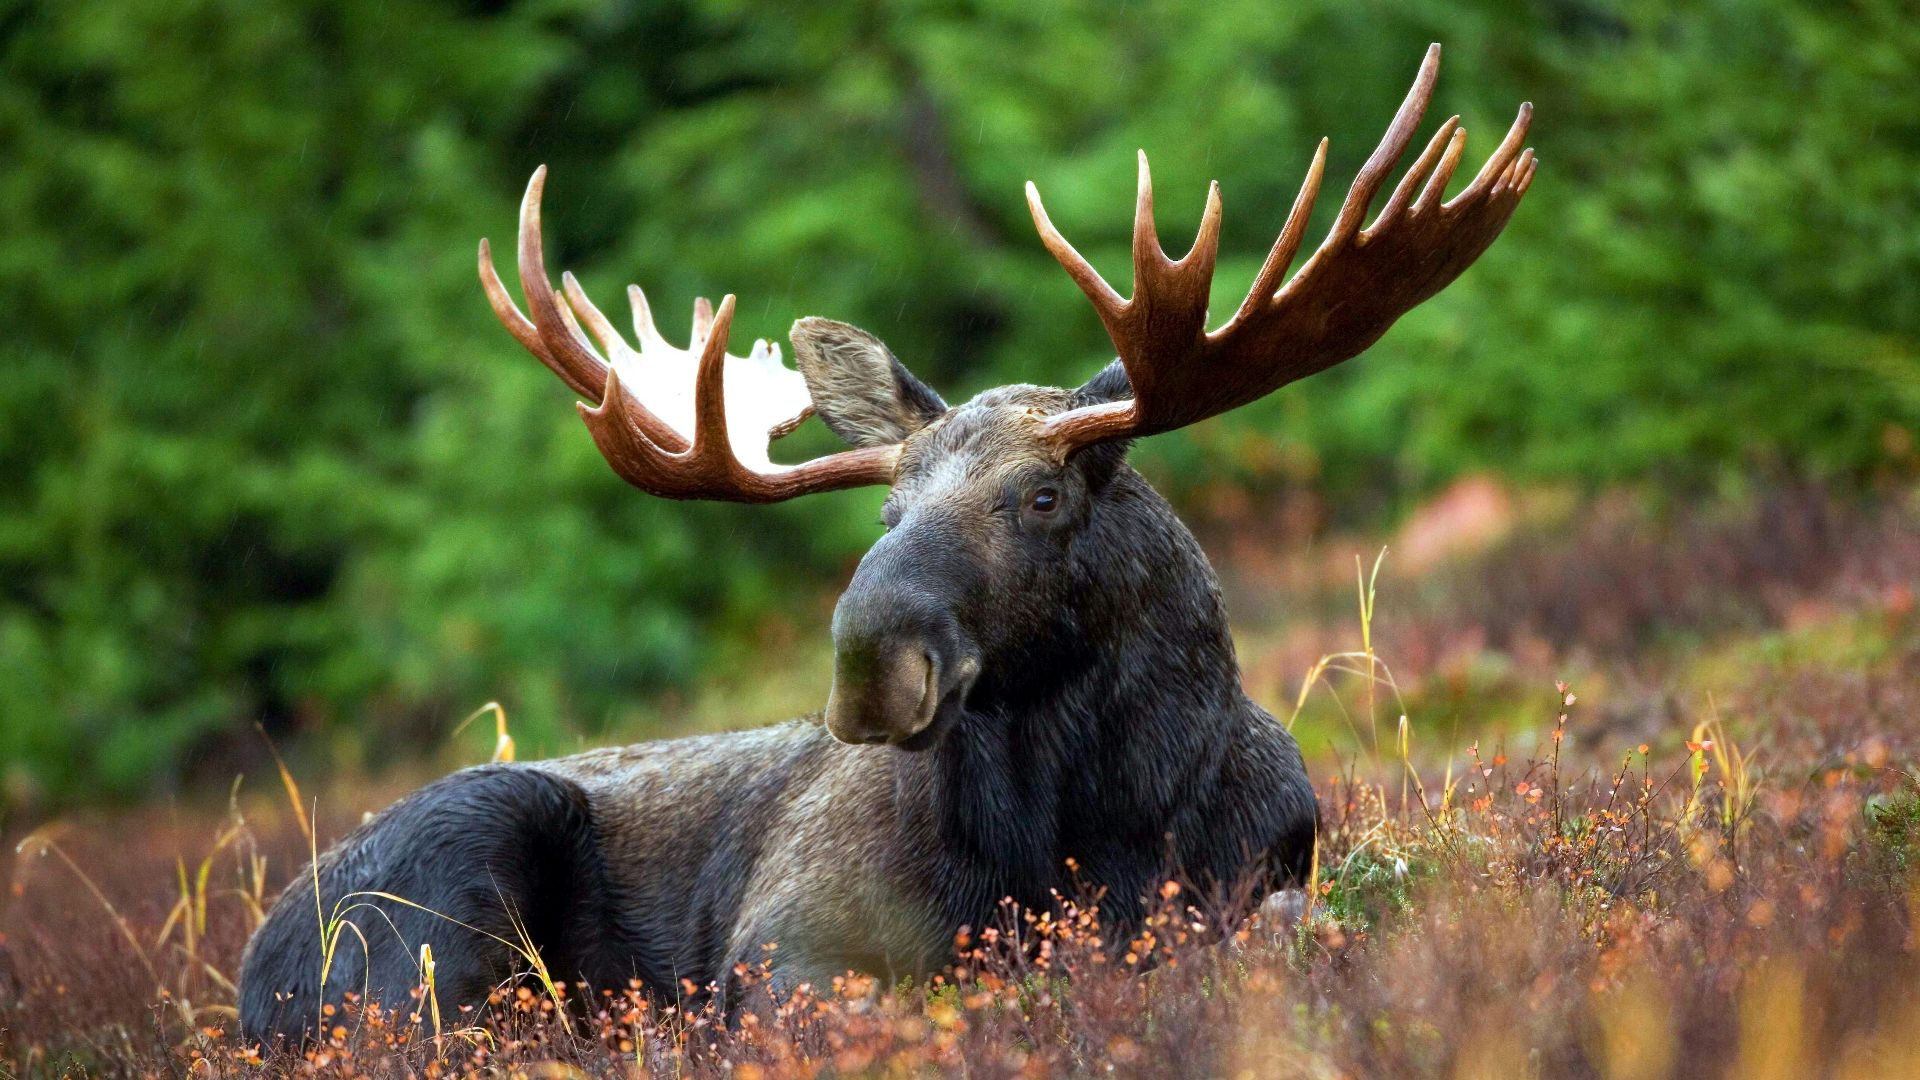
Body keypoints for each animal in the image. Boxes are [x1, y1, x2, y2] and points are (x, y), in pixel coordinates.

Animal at [238, 45, 1534, 1043]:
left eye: (1042, 497)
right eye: (885, 514)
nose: (871, 661)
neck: (1094, 828)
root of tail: (251, 974)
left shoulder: (1263, 878)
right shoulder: (786, 946)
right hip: (447, 887)